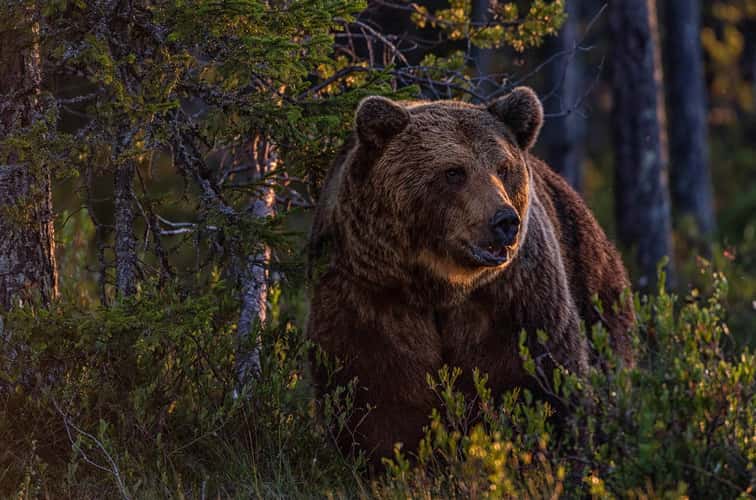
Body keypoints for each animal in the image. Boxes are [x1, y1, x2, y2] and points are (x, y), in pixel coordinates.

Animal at [306, 87, 634, 465]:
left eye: (503, 167)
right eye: (453, 172)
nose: (505, 221)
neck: (440, 286)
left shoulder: (513, 302)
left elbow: (543, 385)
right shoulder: (369, 295)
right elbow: (379, 402)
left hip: (596, 293)